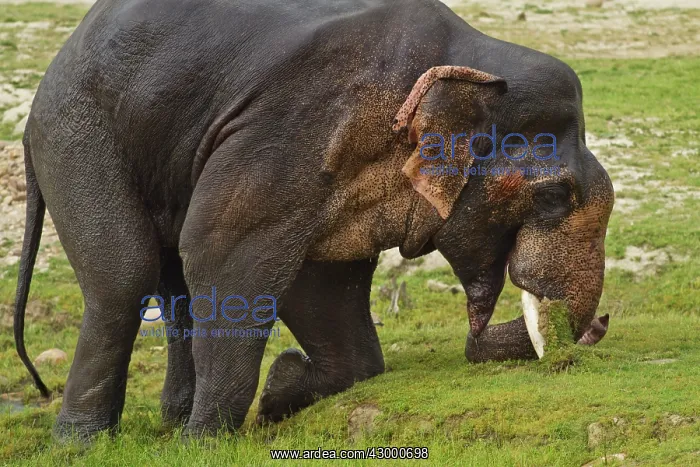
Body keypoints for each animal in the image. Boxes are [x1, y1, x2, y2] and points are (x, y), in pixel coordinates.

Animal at [13, 0, 614, 440]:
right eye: (554, 195)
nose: (600, 326)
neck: (472, 62)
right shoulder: (291, 128)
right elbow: (222, 252)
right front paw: (205, 442)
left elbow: (323, 284)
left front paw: (278, 391)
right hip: (76, 132)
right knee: (125, 277)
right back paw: (83, 443)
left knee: (173, 283)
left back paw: (168, 422)